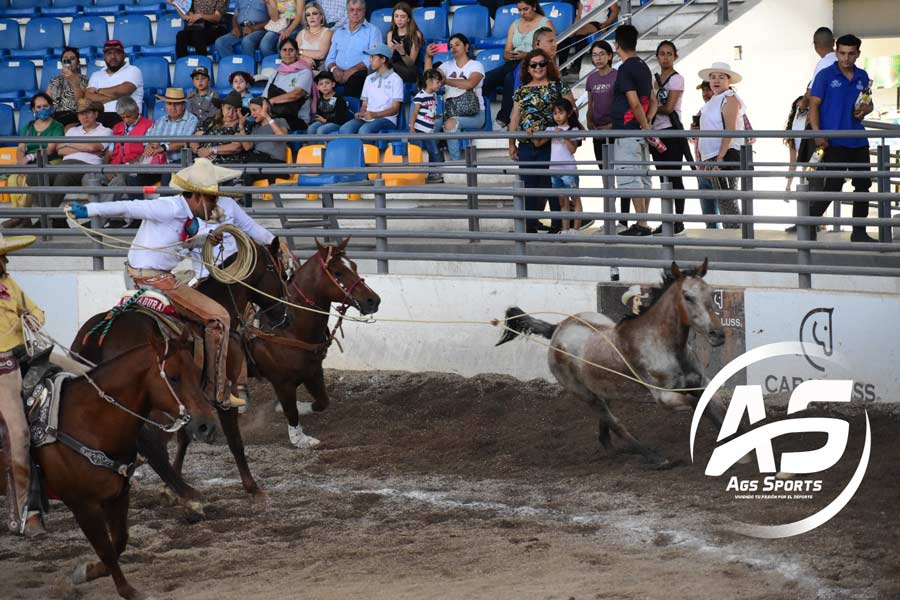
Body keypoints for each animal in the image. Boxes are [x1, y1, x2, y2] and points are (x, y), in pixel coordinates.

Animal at [3, 332, 218, 600]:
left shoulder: (118, 495)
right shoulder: (82, 505)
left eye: (196, 372)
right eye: (174, 377)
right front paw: (129, 591)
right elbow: (105, 548)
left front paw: (88, 571)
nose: (207, 426)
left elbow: (119, 541)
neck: (87, 423)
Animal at [71, 238, 288, 496]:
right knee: (150, 443)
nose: (284, 315)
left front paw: (169, 483)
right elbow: (234, 439)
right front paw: (252, 486)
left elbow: (186, 435)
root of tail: (100, 336)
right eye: (277, 271)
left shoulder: (188, 398)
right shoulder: (223, 394)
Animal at [496, 258, 728, 468]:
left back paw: (616, 449)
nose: (718, 334)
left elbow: (716, 407)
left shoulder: (702, 382)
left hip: (603, 388)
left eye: (711, 292)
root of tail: (557, 329)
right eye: (688, 296)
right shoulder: (665, 398)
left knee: (605, 424)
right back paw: (654, 457)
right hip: (583, 393)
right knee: (614, 422)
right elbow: (699, 406)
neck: (663, 344)